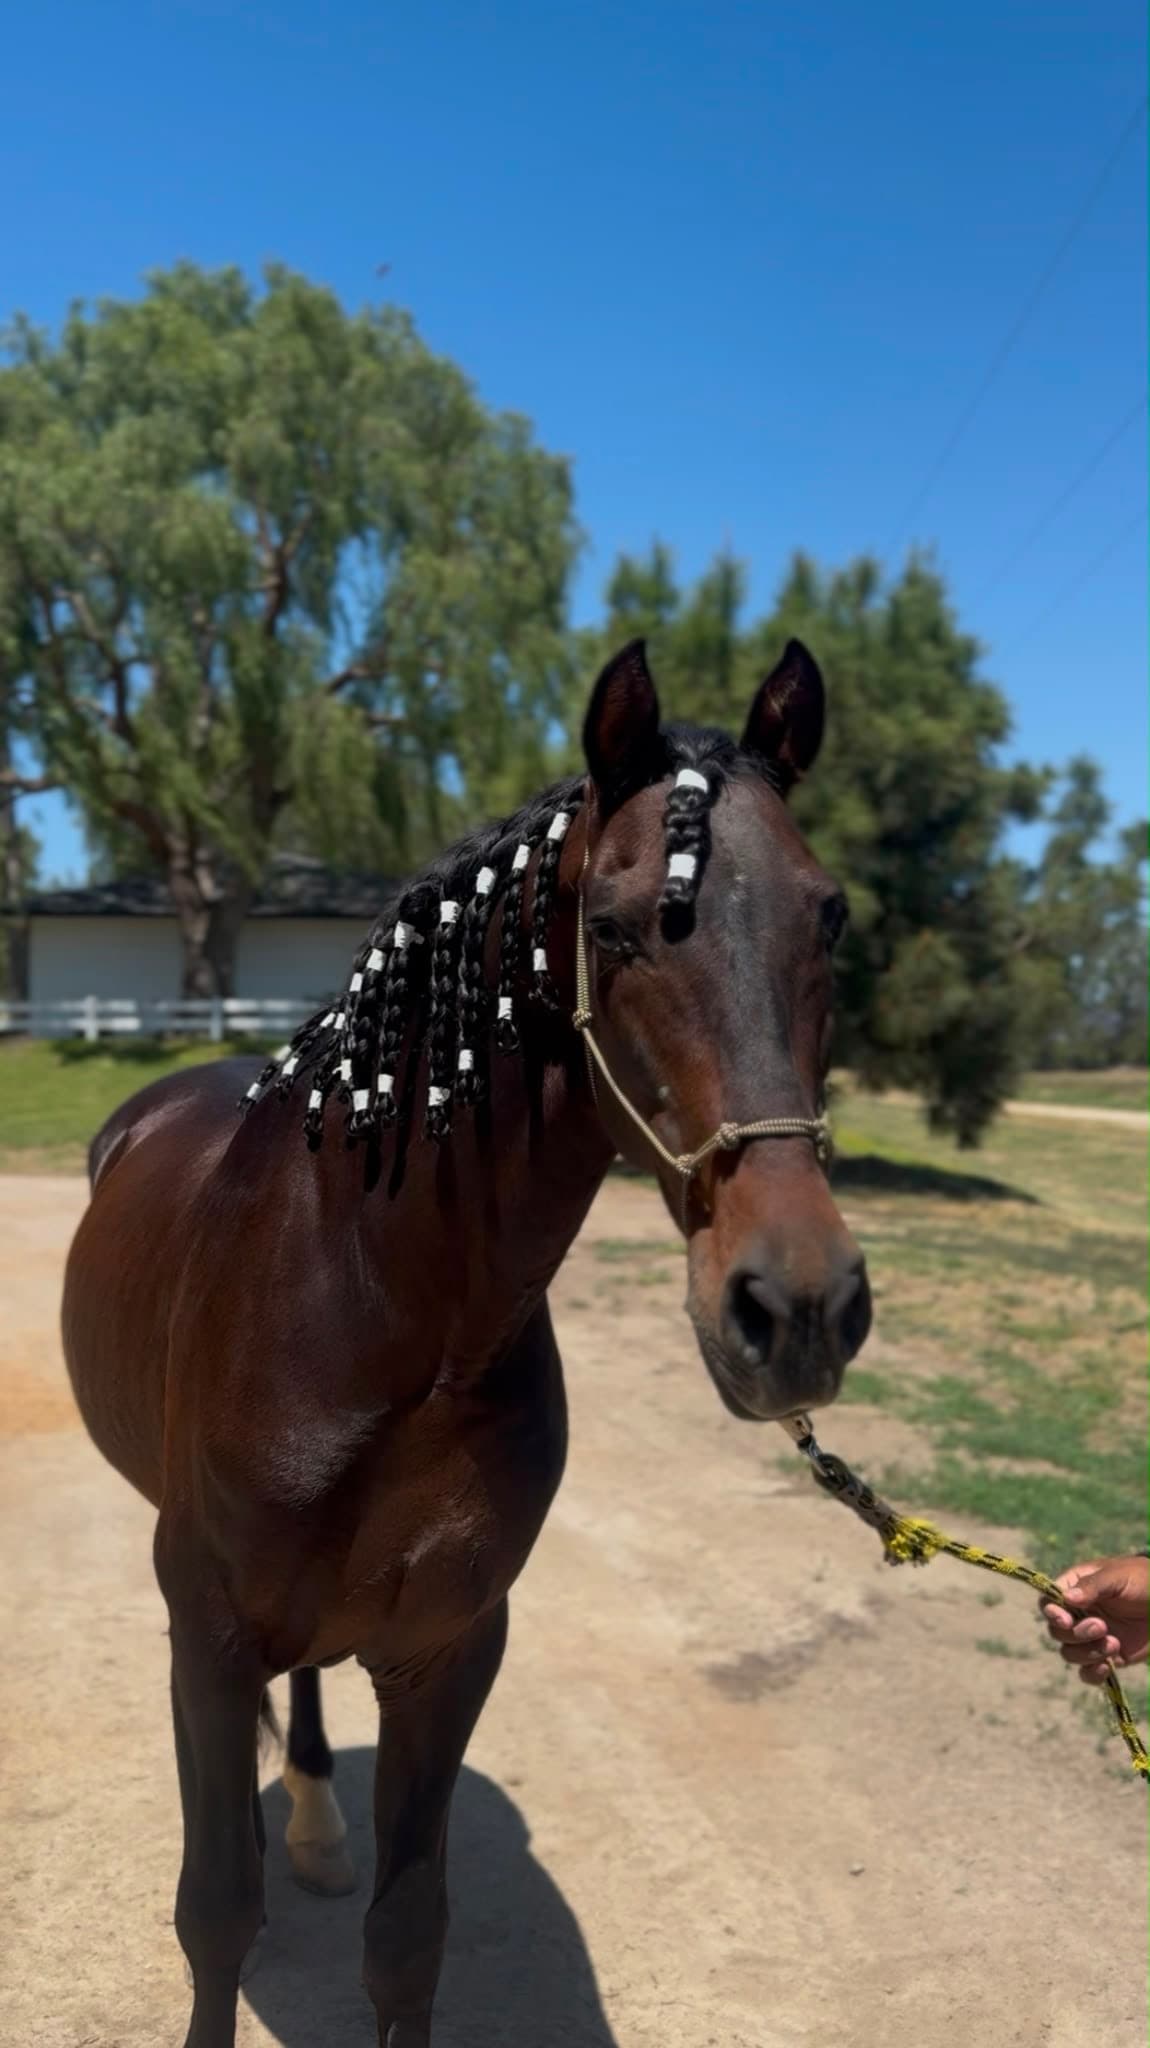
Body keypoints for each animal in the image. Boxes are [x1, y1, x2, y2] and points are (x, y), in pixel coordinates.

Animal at [61, 635, 871, 2048]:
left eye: (826, 915)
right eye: (611, 928)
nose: (799, 1306)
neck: (373, 1306)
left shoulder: (449, 1645)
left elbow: (407, 1940)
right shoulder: (206, 1633)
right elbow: (213, 1910)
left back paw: (317, 1825)